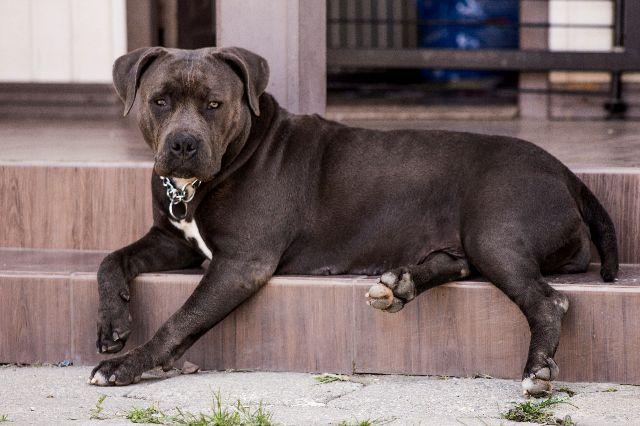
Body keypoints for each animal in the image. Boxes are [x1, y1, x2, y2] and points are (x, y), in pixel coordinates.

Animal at [87, 46, 616, 396]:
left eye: (214, 105)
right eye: (159, 101)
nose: (183, 144)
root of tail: (566, 171)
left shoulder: (240, 263)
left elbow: (181, 318)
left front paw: (128, 365)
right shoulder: (172, 239)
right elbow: (110, 259)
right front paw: (113, 323)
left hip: (495, 232)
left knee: (548, 301)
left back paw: (537, 370)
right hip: (473, 241)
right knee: (459, 263)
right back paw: (399, 285)